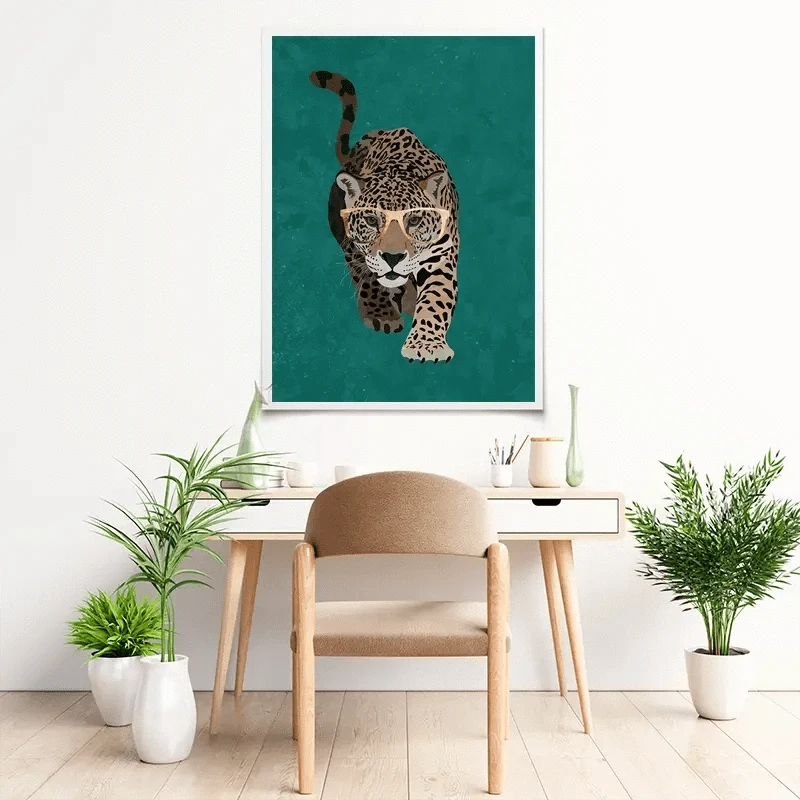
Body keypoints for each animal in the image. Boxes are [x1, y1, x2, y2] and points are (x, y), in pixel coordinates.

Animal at [310, 70, 459, 363]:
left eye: (414, 220)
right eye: (371, 220)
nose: (392, 257)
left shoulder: (441, 256)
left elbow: (436, 298)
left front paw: (426, 345)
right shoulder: (357, 248)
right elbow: (369, 278)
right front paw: (381, 314)